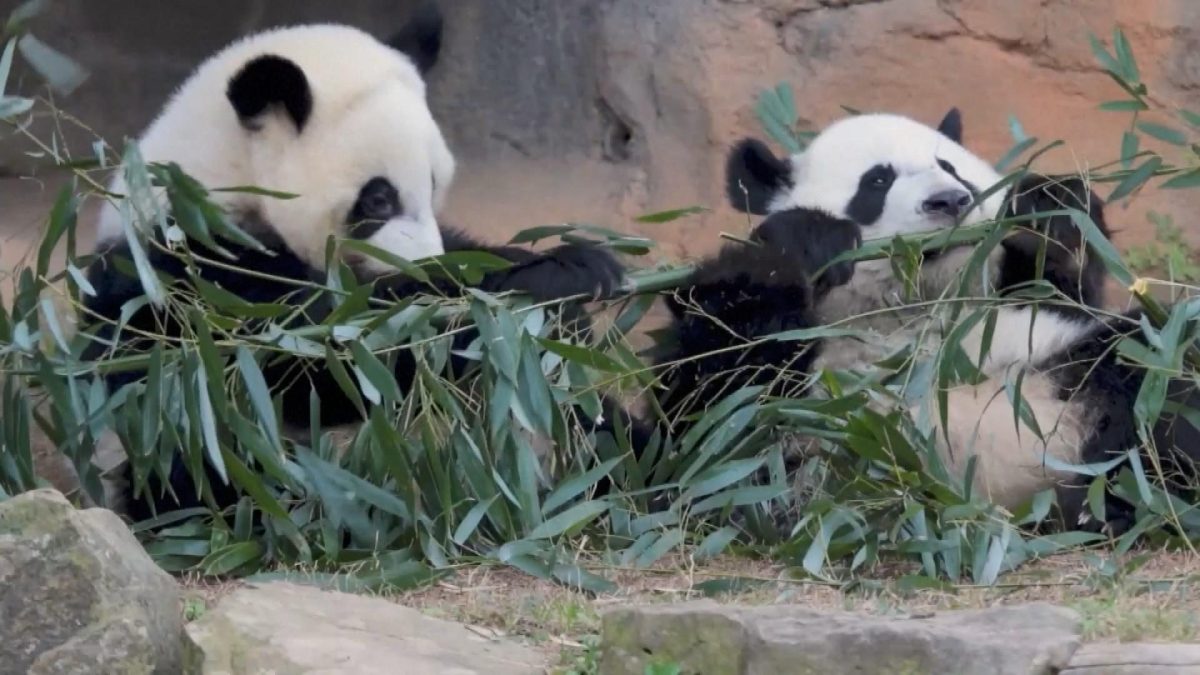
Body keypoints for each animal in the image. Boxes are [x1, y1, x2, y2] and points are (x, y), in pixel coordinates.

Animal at [74, 4, 630, 523]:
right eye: (379, 199)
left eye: (433, 183)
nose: (417, 262)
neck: (222, 179)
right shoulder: (193, 275)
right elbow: (325, 366)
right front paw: (534, 297)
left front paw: (578, 270)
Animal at [649, 108, 1200, 535]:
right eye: (877, 181)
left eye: (950, 166)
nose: (949, 201)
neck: (906, 309)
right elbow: (708, 426)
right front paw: (809, 240)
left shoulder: (1018, 317)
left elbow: (1063, 286)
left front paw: (1048, 209)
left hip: (1067, 378)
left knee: (1158, 367)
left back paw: (1124, 498)